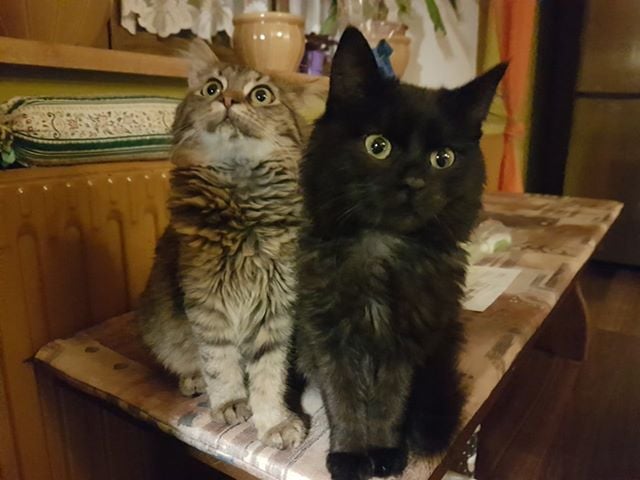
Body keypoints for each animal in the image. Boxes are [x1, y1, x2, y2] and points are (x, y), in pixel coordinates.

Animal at [138, 40, 323, 449]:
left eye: (261, 95)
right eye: (211, 88)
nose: (228, 100)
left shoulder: (276, 308)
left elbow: (268, 377)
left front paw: (274, 423)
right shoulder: (207, 305)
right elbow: (220, 364)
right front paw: (230, 404)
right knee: (186, 361)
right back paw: (192, 380)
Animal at [295, 27, 506, 479]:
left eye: (442, 158)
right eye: (378, 146)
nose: (413, 182)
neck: (382, 248)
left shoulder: (406, 340)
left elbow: (392, 400)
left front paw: (385, 451)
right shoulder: (327, 336)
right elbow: (343, 400)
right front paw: (349, 455)